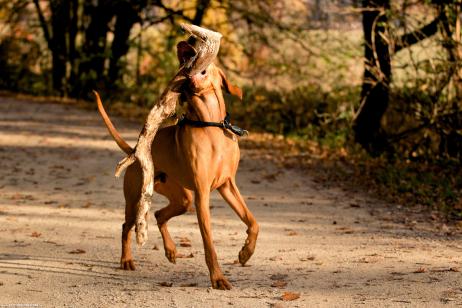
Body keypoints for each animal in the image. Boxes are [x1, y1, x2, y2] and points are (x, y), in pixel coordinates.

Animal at [94, 51, 260, 290]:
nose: (187, 73)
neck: (212, 126)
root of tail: (135, 150)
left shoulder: (227, 186)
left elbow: (253, 222)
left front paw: (246, 252)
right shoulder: (202, 194)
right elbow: (209, 243)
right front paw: (218, 278)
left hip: (182, 198)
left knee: (159, 215)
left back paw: (171, 250)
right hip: (136, 200)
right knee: (127, 226)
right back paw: (126, 260)